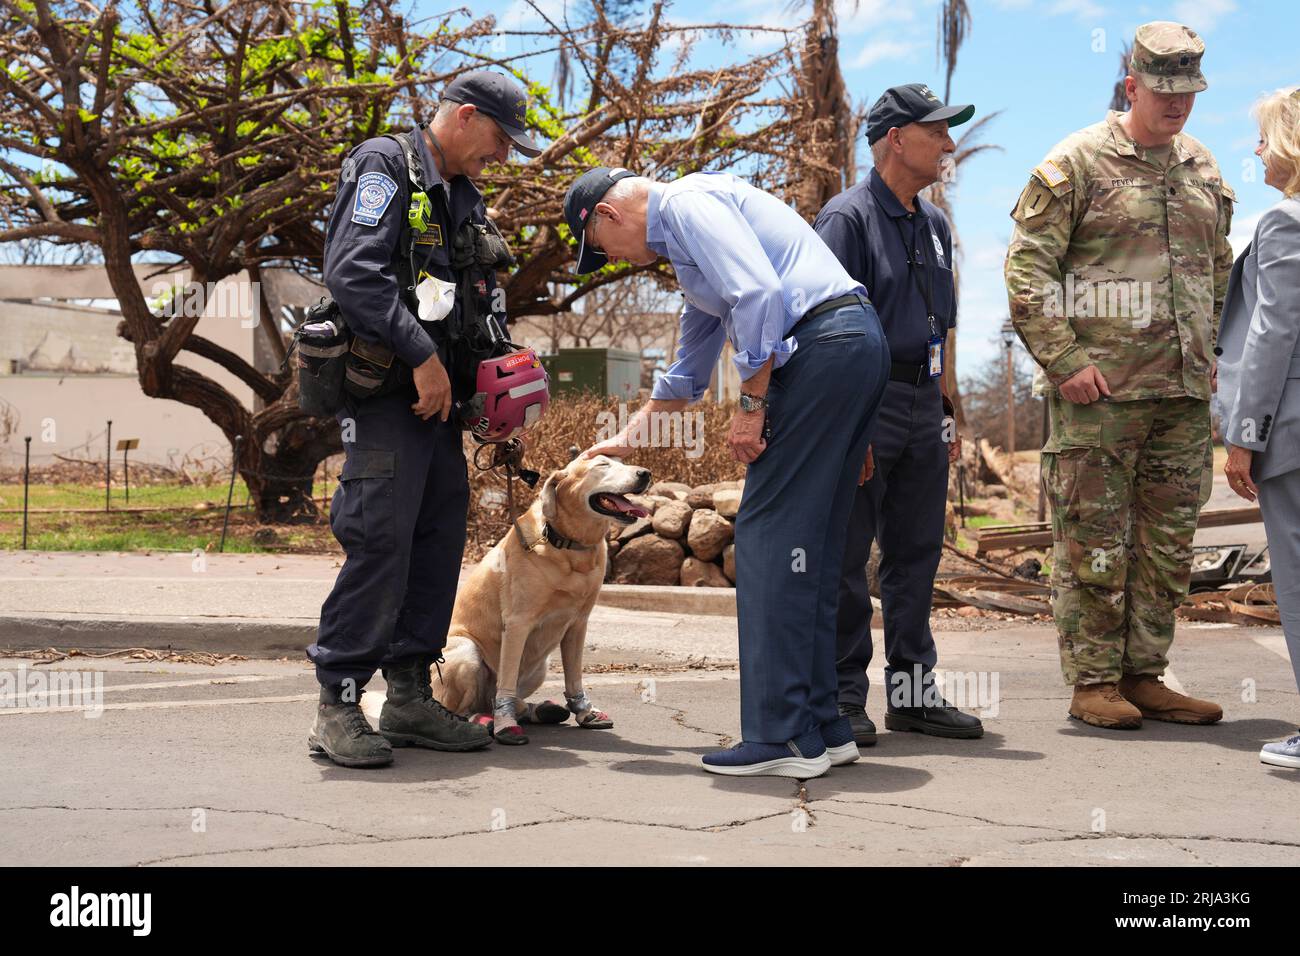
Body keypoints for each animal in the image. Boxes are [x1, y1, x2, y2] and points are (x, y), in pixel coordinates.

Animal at [431, 455, 650, 749]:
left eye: (622, 462)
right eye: (602, 465)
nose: (645, 473)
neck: (569, 545)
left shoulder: (579, 623)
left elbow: (574, 676)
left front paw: (584, 712)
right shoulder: (517, 623)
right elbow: (507, 682)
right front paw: (505, 723)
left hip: (541, 667)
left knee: (497, 700)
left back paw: (539, 710)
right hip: (467, 651)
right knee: (466, 708)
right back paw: (486, 720)